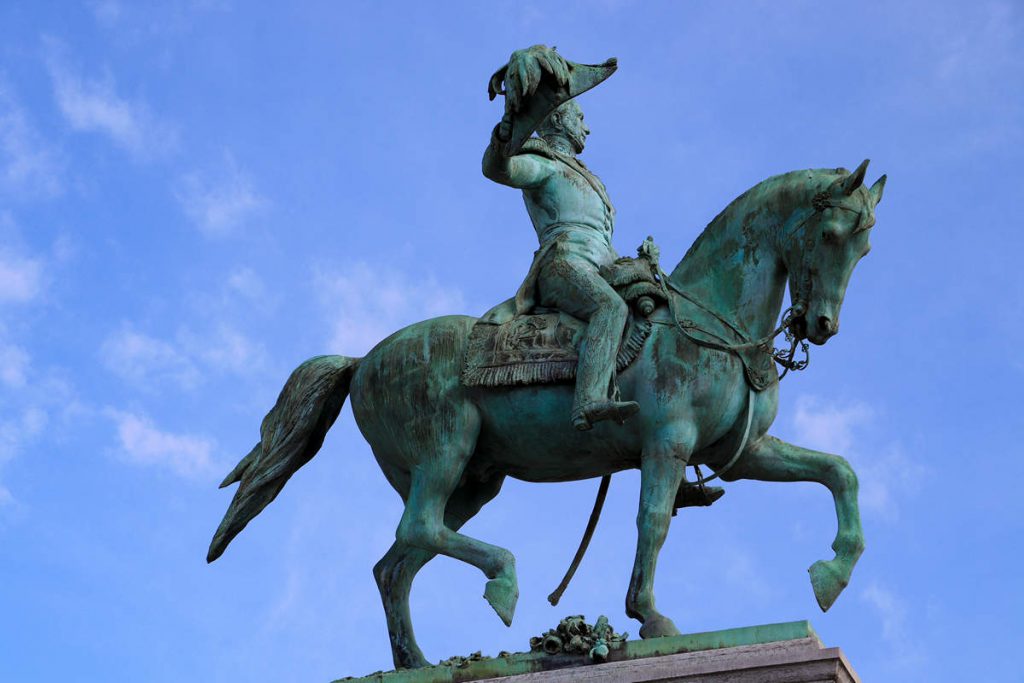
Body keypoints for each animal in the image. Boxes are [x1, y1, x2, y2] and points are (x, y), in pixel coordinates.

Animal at [205, 158, 880, 667]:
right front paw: (650, 616)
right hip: (445, 448)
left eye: (865, 246)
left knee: (395, 565)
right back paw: (502, 583)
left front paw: (832, 575)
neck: (708, 322)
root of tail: (364, 358)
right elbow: (652, 522)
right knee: (416, 532)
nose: (822, 326)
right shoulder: (667, 443)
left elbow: (839, 471)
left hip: (471, 480)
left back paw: (415, 662)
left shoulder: (741, 455)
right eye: (830, 234)